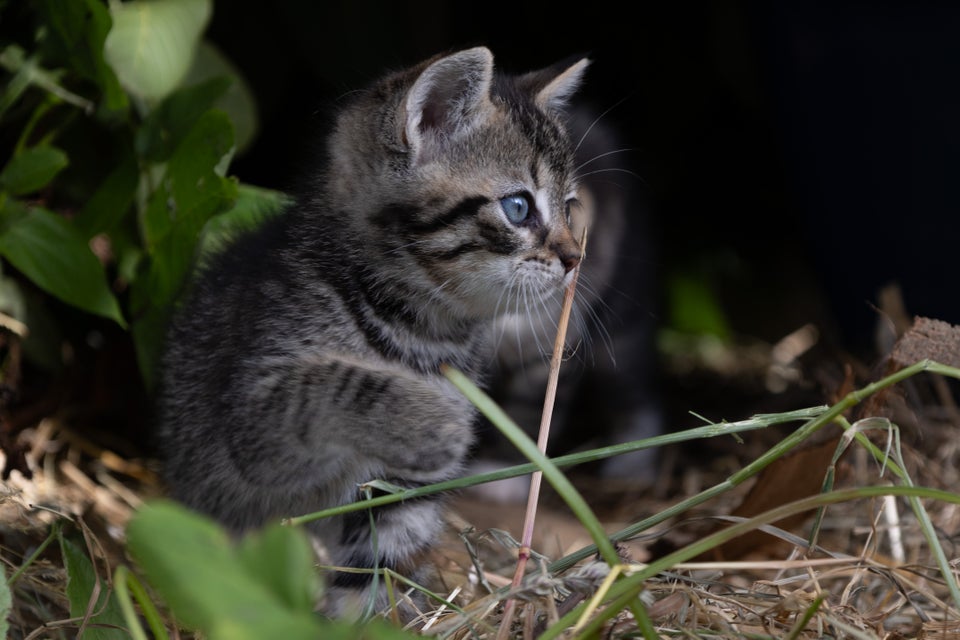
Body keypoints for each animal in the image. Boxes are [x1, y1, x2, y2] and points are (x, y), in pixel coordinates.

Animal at [157, 48, 588, 616]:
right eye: (518, 207)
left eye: (569, 207)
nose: (574, 258)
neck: (421, 330)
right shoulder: (253, 418)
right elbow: (331, 383)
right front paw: (437, 419)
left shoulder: (400, 495)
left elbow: (377, 568)